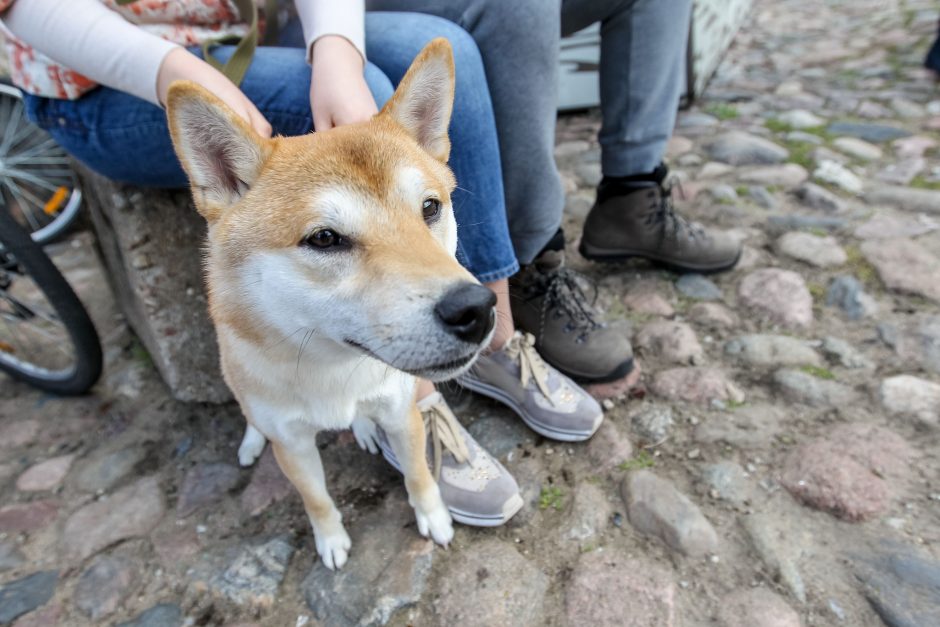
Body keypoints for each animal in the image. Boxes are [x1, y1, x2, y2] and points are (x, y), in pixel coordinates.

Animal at [166, 38, 500, 568]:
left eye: (430, 208)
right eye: (325, 238)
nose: (475, 309)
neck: (332, 368)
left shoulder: (402, 409)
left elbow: (418, 473)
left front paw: (434, 516)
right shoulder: (293, 445)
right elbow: (316, 499)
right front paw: (331, 540)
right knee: (250, 414)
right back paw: (252, 439)